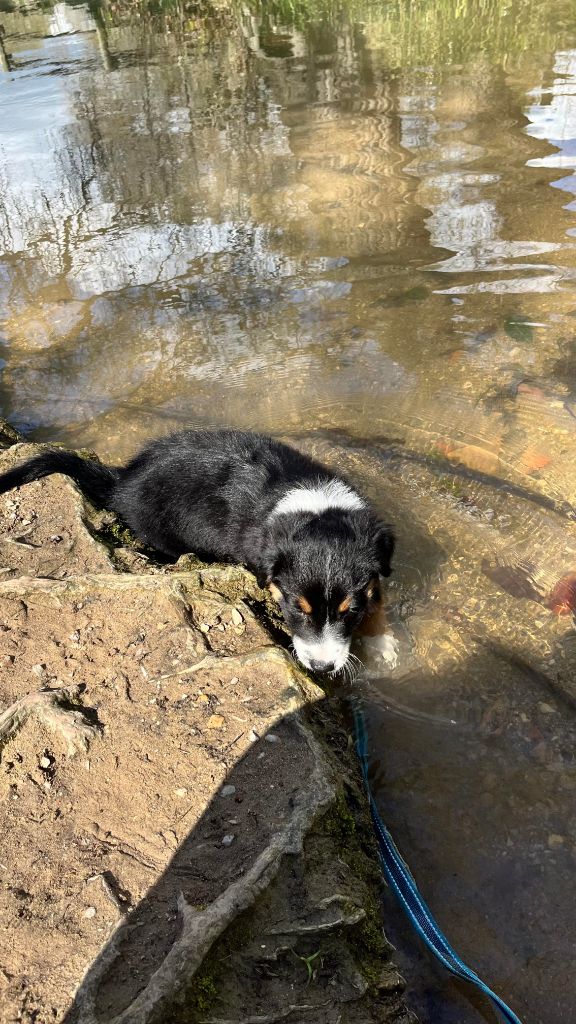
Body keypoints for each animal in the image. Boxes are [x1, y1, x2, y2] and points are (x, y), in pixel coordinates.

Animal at [0, 430, 391, 675]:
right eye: (297, 609)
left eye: (350, 610)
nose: (323, 668)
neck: (314, 504)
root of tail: (122, 480)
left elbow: (379, 599)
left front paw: (384, 645)